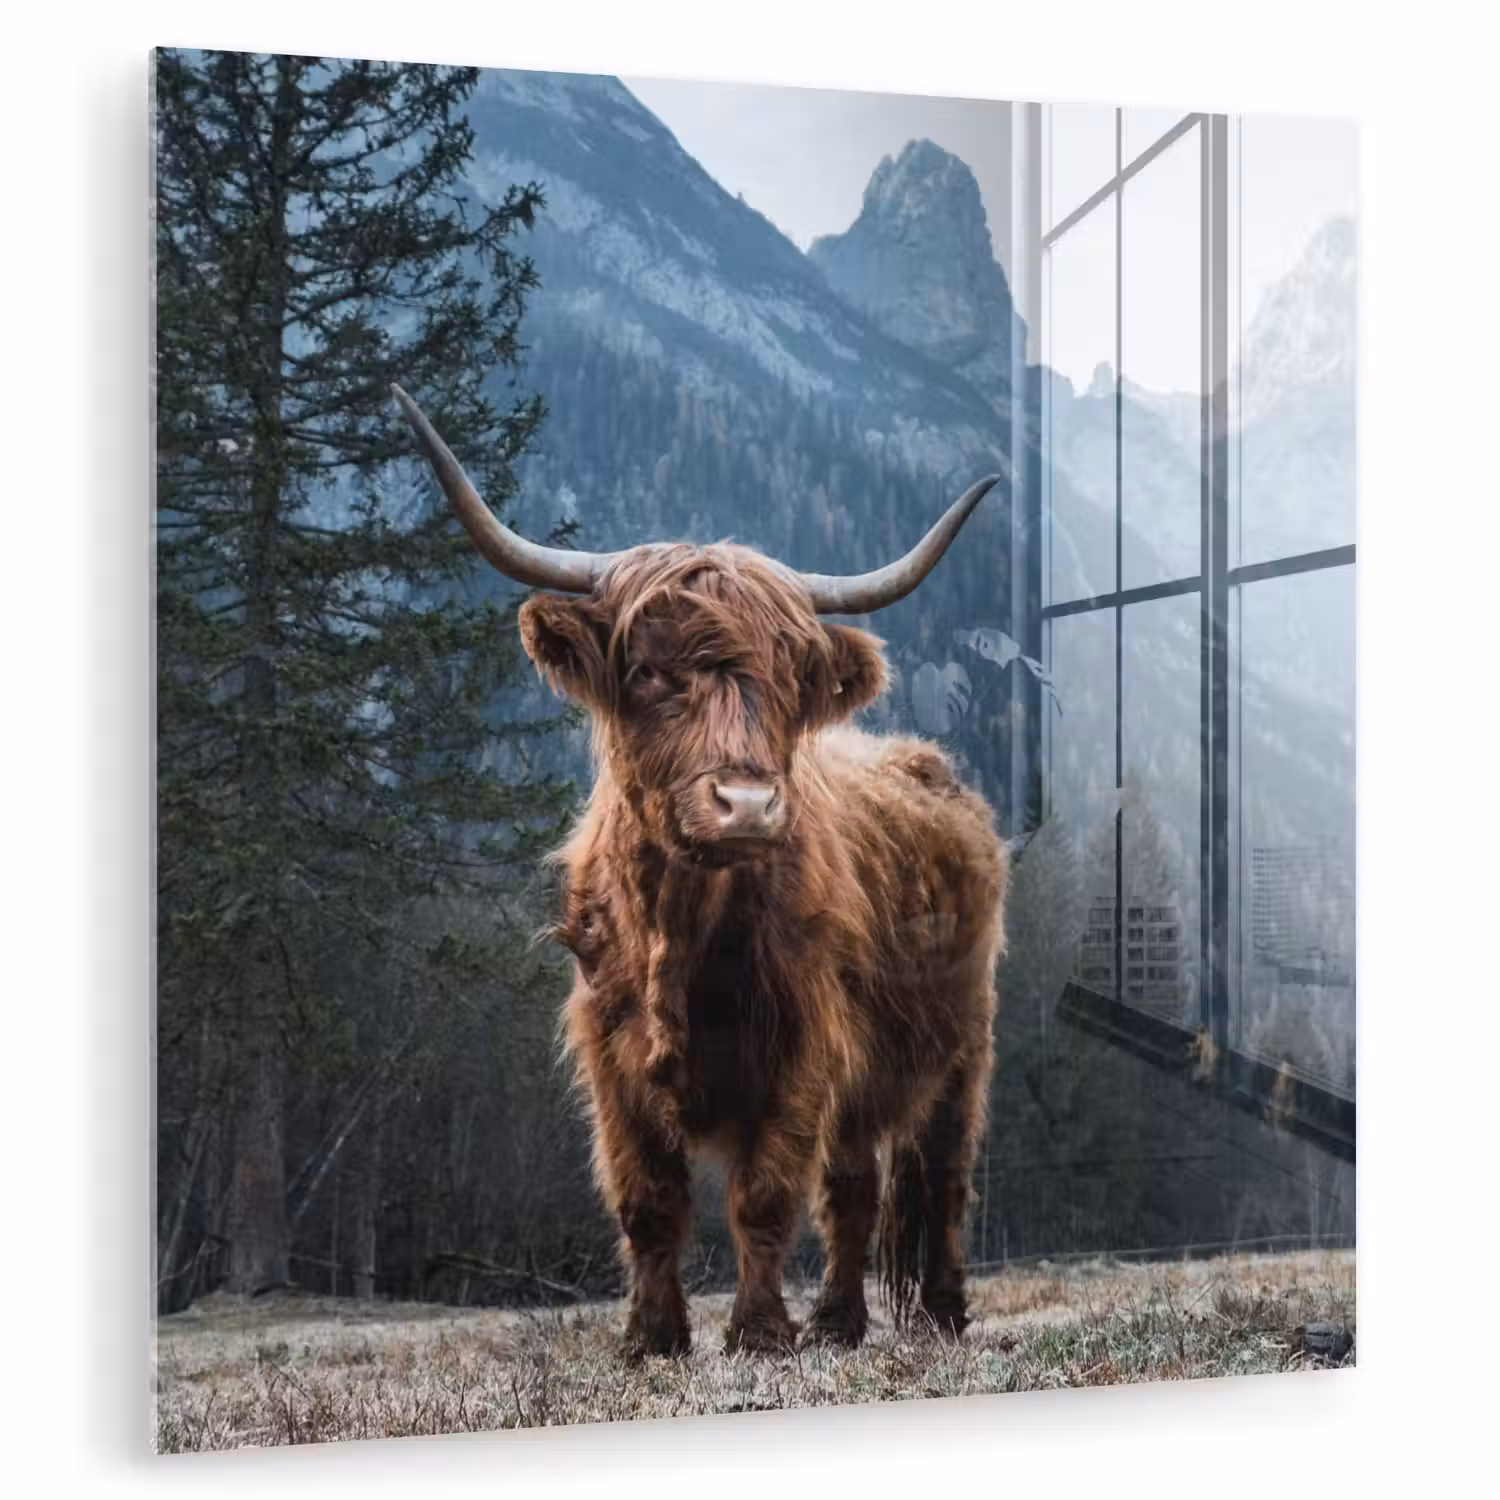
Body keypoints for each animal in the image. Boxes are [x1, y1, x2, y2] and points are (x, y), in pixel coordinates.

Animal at [393, 386, 1009, 1360]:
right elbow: (649, 1201)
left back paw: (939, 1313)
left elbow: (763, 1196)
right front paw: (652, 1338)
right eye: (648, 672)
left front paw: (757, 1333)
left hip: (961, 1047)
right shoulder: (610, 1053)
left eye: (790, 679)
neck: (680, 928)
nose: (747, 805)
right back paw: (839, 1322)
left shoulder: (801, 1046)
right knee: (853, 1189)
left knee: (940, 1177)